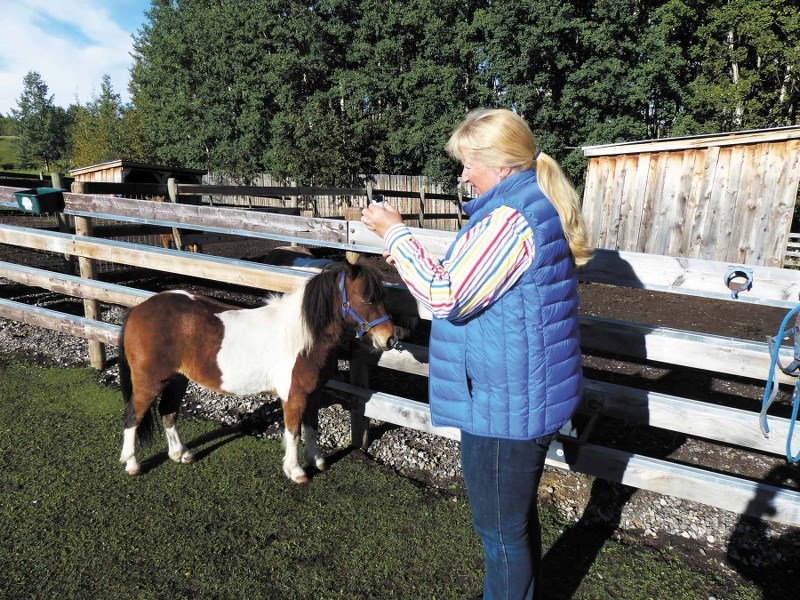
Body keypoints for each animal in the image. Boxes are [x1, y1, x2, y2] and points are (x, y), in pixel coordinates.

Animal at [116, 262, 396, 482]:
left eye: (384, 297)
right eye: (367, 298)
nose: (390, 339)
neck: (302, 337)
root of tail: (137, 310)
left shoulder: (313, 393)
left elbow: (311, 426)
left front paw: (317, 461)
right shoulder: (293, 396)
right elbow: (293, 433)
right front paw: (295, 471)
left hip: (178, 379)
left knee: (168, 412)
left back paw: (180, 454)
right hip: (150, 381)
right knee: (133, 415)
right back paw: (132, 463)